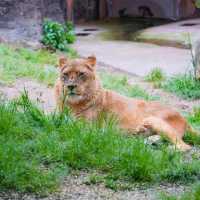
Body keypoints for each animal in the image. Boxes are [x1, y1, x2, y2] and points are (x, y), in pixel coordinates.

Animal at [54, 55, 198, 151]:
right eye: (65, 74)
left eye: (81, 74)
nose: (71, 86)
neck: (72, 104)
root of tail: (185, 119)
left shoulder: (87, 128)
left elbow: (68, 128)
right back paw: (145, 137)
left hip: (153, 119)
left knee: (184, 146)